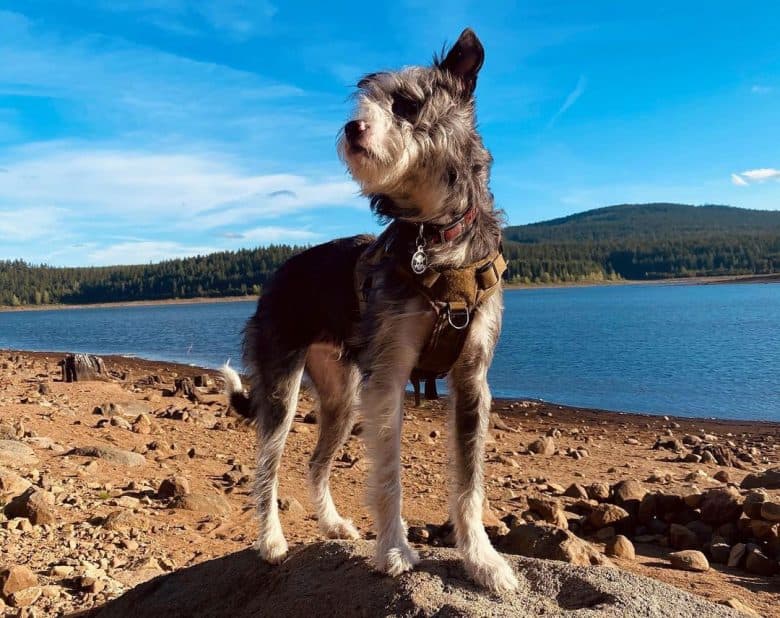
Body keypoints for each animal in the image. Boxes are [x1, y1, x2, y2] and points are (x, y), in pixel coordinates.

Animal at [222, 28, 516, 592]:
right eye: (366, 103)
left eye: (407, 105)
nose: (351, 127)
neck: (437, 239)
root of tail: (277, 275)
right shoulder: (389, 379)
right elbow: (388, 477)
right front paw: (396, 551)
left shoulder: (472, 382)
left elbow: (469, 485)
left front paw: (482, 561)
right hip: (282, 387)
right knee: (266, 468)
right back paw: (271, 542)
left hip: (341, 398)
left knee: (315, 463)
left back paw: (333, 523)